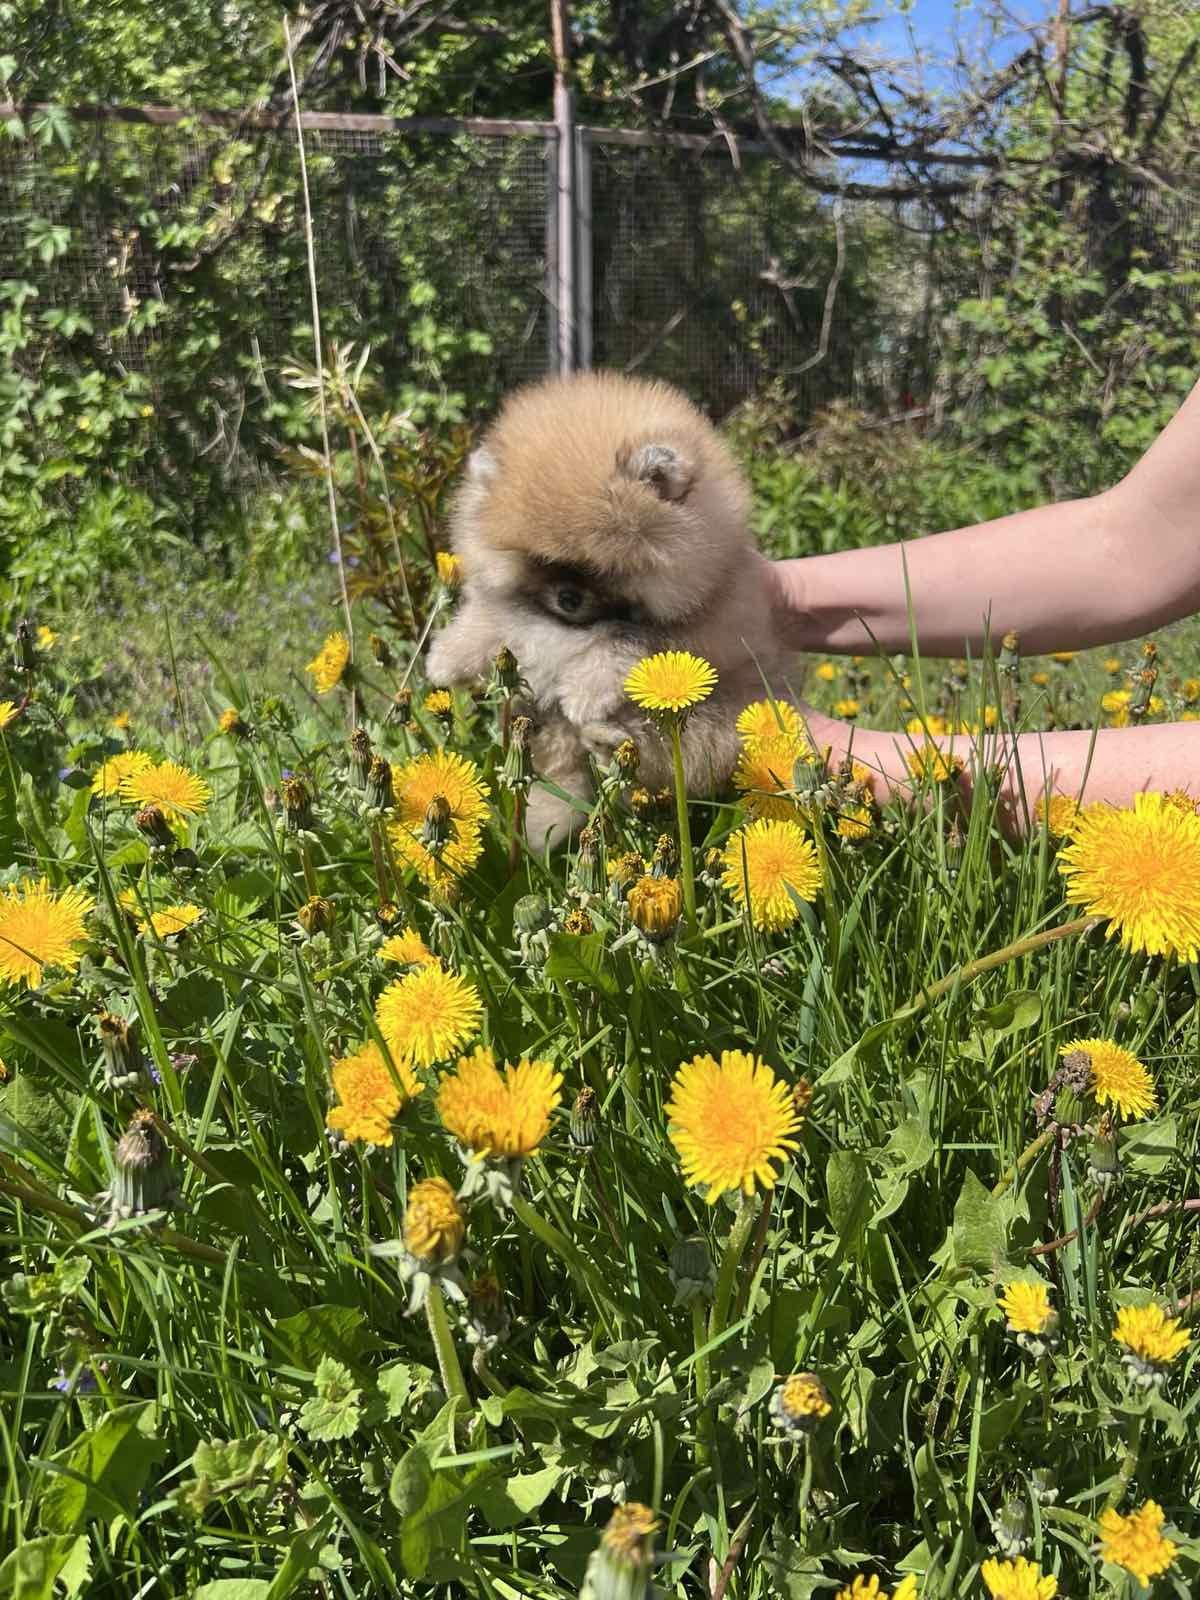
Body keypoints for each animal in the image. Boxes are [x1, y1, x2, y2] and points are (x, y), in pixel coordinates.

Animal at [428, 372, 803, 851]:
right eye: (544, 562)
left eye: (601, 568)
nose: (568, 598)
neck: (570, 626)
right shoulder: (514, 614)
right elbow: (488, 618)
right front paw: (445, 658)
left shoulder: (688, 629)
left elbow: (621, 639)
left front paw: (584, 690)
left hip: (721, 710)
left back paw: (604, 740)